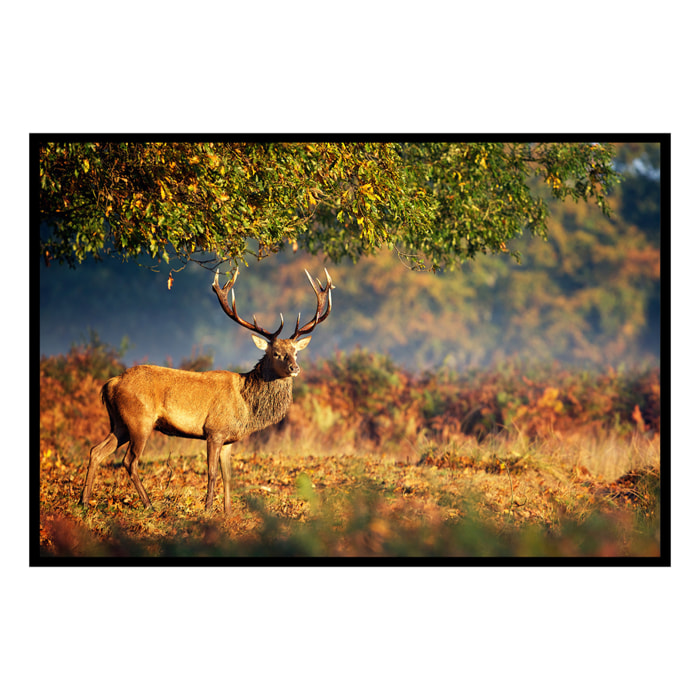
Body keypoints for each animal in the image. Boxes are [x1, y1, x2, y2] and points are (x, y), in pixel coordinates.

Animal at [80, 267, 334, 514]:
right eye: (276, 353)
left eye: (296, 352)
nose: (294, 368)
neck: (246, 407)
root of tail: (111, 383)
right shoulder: (214, 431)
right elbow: (211, 473)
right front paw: (208, 509)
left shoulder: (230, 439)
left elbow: (228, 476)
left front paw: (228, 513)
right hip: (139, 420)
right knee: (129, 461)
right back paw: (149, 505)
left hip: (120, 423)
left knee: (96, 451)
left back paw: (84, 502)